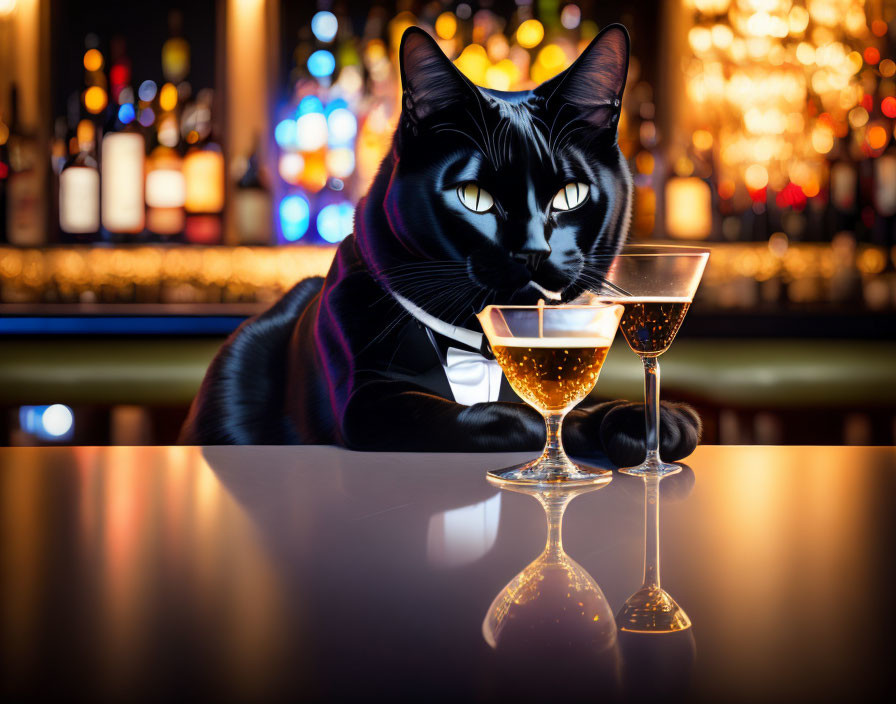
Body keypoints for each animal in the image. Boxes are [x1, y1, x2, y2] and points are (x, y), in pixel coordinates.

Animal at [180, 23, 700, 468]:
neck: (481, 350)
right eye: (475, 197)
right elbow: (500, 415)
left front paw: (654, 421)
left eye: (570, 195)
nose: (534, 251)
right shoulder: (370, 403)